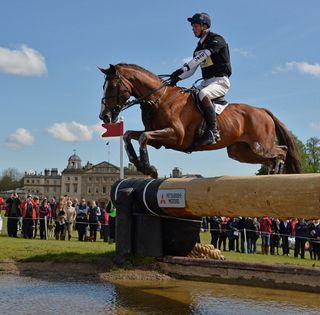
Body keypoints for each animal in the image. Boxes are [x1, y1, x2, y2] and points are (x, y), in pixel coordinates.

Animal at [99, 63, 302, 179]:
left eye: (113, 86)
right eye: (104, 86)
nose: (104, 116)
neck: (159, 98)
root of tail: (263, 111)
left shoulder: (176, 136)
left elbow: (142, 138)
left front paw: (148, 168)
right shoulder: (158, 139)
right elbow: (129, 135)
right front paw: (140, 164)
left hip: (259, 145)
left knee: (282, 150)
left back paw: (279, 170)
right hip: (240, 151)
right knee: (270, 158)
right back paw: (274, 171)